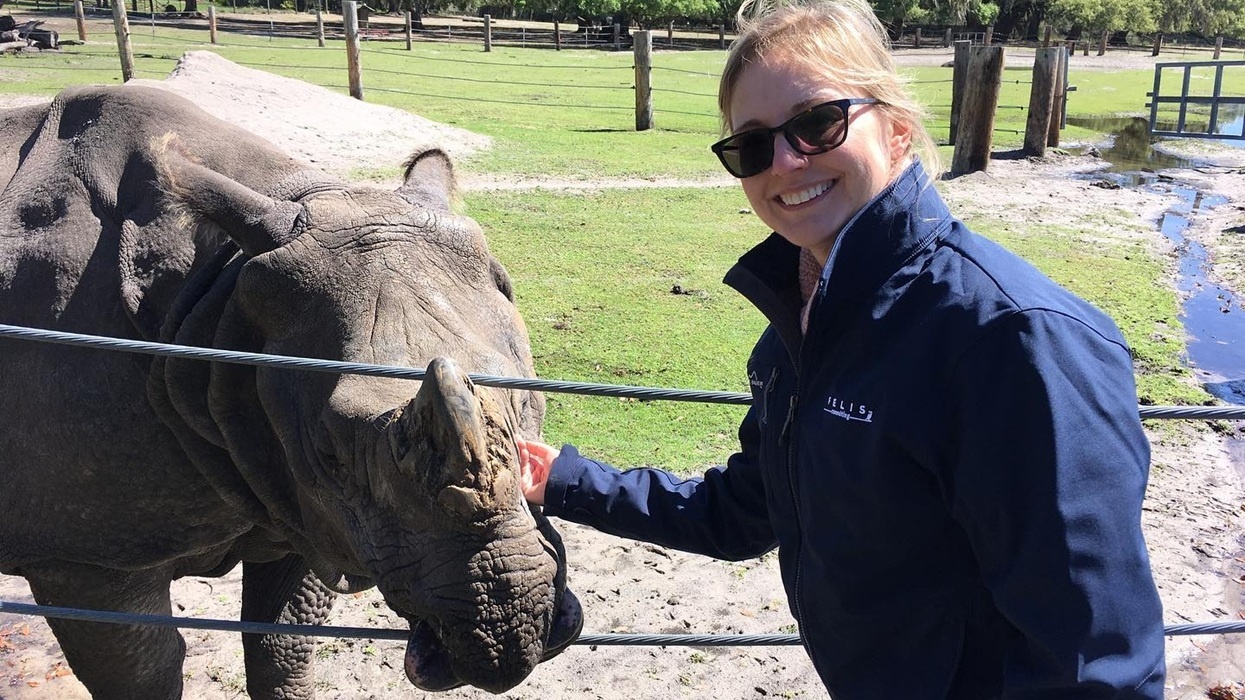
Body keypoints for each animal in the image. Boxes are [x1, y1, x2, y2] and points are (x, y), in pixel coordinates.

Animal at [0, 84, 582, 699]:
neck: (217, 294)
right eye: (331, 456)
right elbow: (146, 675)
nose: (507, 629)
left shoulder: (301, 495)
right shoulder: (79, 557)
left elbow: (282, 645)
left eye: (533, 404)